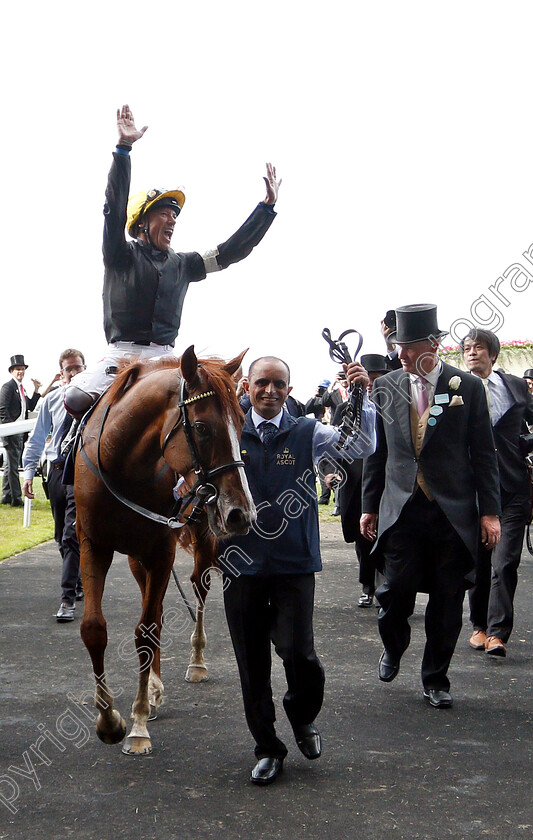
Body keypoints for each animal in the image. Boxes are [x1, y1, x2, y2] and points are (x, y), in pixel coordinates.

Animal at [74, 346, 255, 756]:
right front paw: (109, 720)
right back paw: (154, 687)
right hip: (136, 555)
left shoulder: (161, 549)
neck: (123, 465)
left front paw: (137, 726)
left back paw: (196, 662)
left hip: (202, 536)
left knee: (198, 588)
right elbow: (95, 627)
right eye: (202, 427)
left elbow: (147, 630)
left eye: (241, 422)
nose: (241, 513)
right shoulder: (93, 544)